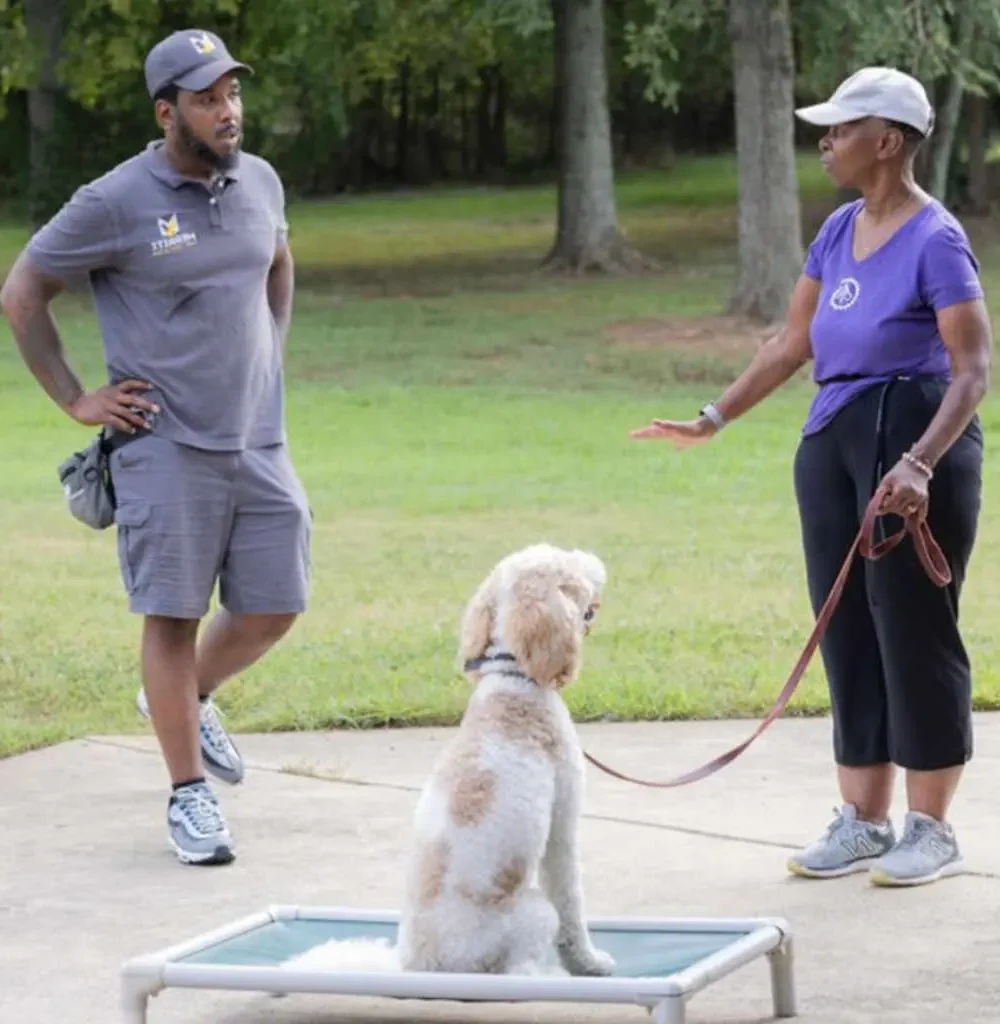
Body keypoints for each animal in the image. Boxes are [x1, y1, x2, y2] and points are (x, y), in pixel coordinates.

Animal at [278, 540, 610, 978]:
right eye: (565, 564)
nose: (595, 559)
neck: (514, 682)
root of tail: (416, 966)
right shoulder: (562, 822)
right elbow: (571, 901)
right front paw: (589, 963)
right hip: (532, 913)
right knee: (520, 966)